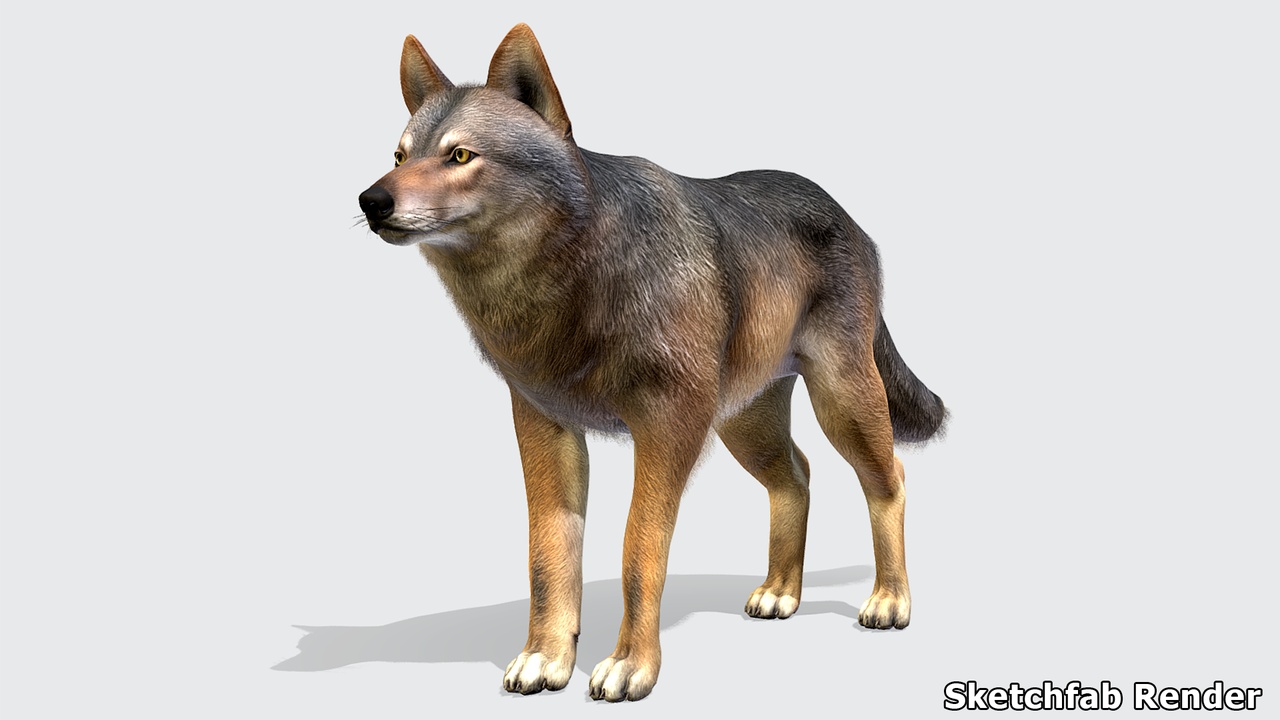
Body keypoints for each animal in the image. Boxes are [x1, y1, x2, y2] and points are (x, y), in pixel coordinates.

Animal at [357, 24, 946, 702]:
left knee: (890, 477)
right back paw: (781, 593)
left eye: (459, 156)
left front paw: (630, 665)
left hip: (840, 403)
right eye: (399, 156)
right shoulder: (545, 428)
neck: (571, 285)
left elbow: (639, 551)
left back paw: (890, 600)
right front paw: (545, 657)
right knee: (796, 476)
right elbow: (547, 555)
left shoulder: (668, 428)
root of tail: (850, 218)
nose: (370, 200)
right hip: (744, 423)